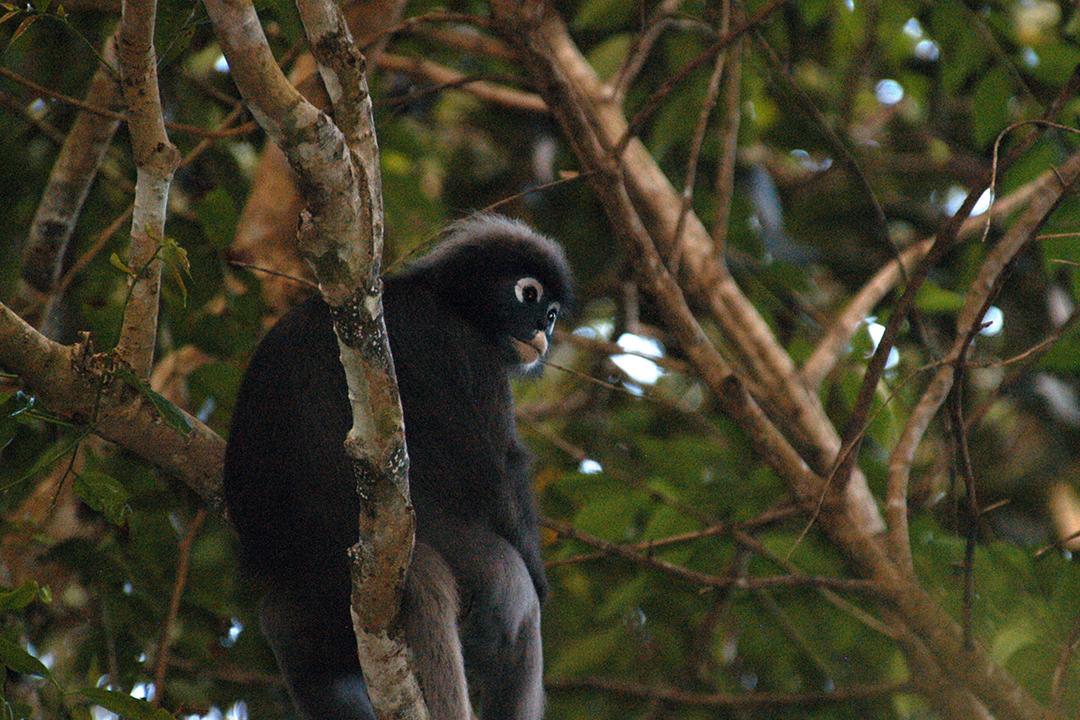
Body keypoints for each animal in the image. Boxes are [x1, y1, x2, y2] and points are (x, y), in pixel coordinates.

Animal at [223, 215, 573, 720]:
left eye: (552, 314)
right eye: (530, 296)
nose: (544, 327)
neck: (438, 294)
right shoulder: (472, 352)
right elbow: (503, 470)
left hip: (305, 610)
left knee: (292, 640)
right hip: (475, 561)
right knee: (523, 610)